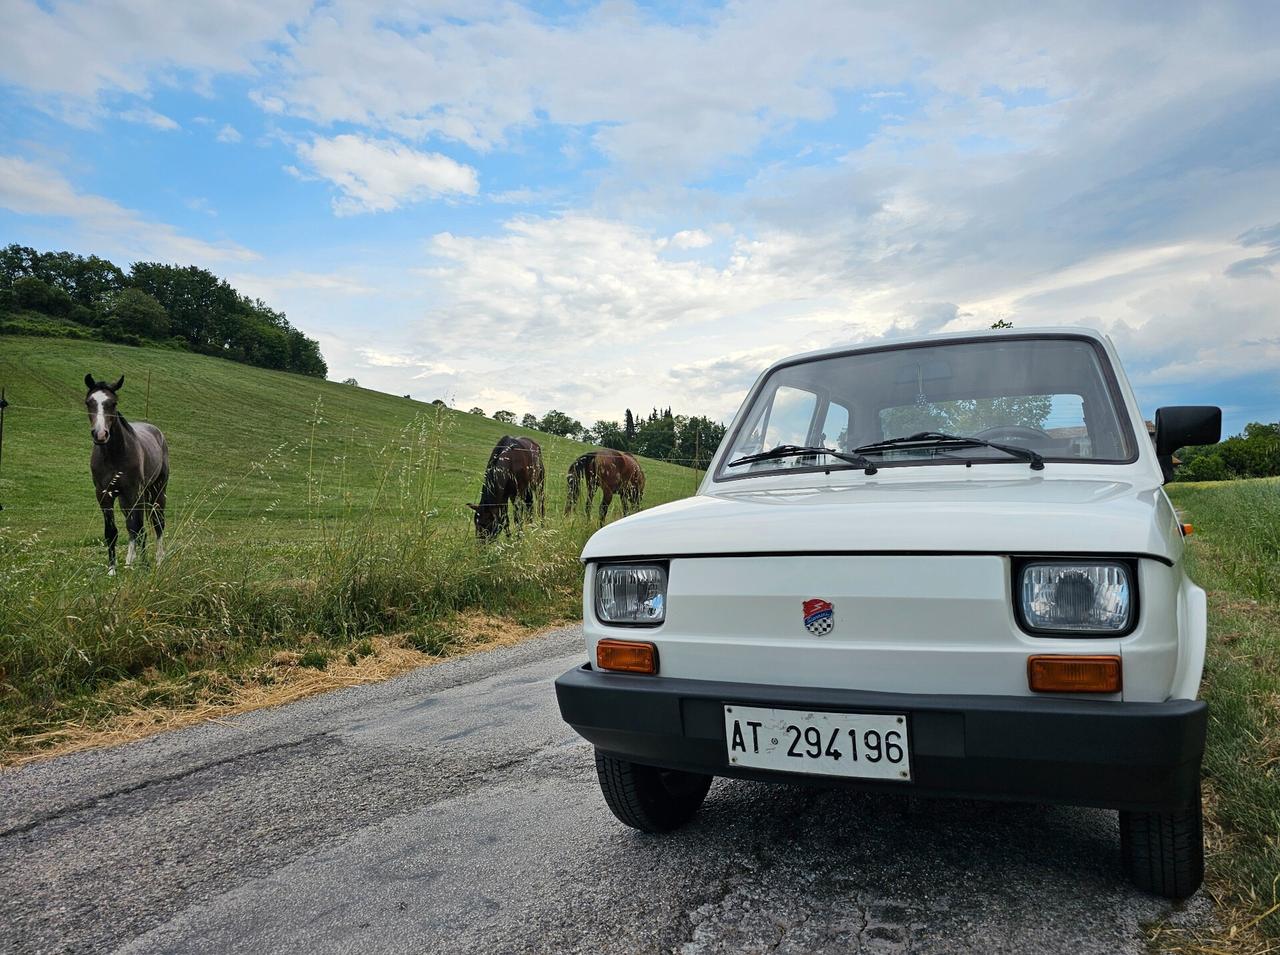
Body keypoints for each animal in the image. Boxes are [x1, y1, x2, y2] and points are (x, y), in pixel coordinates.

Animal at [85, 371, 170, 573]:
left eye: (113, 403)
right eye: (89, 402)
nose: (100, 434)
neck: (114, 455)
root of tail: (157, 433)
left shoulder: (133, 493)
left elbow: (137, 526)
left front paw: (143, 565)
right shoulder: (104, 495)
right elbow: (112, 531)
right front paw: (112, 569)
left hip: (156, 492)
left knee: (157, 524)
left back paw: (158, 560)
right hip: (127, 500)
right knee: (134, 528)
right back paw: (131, 561)